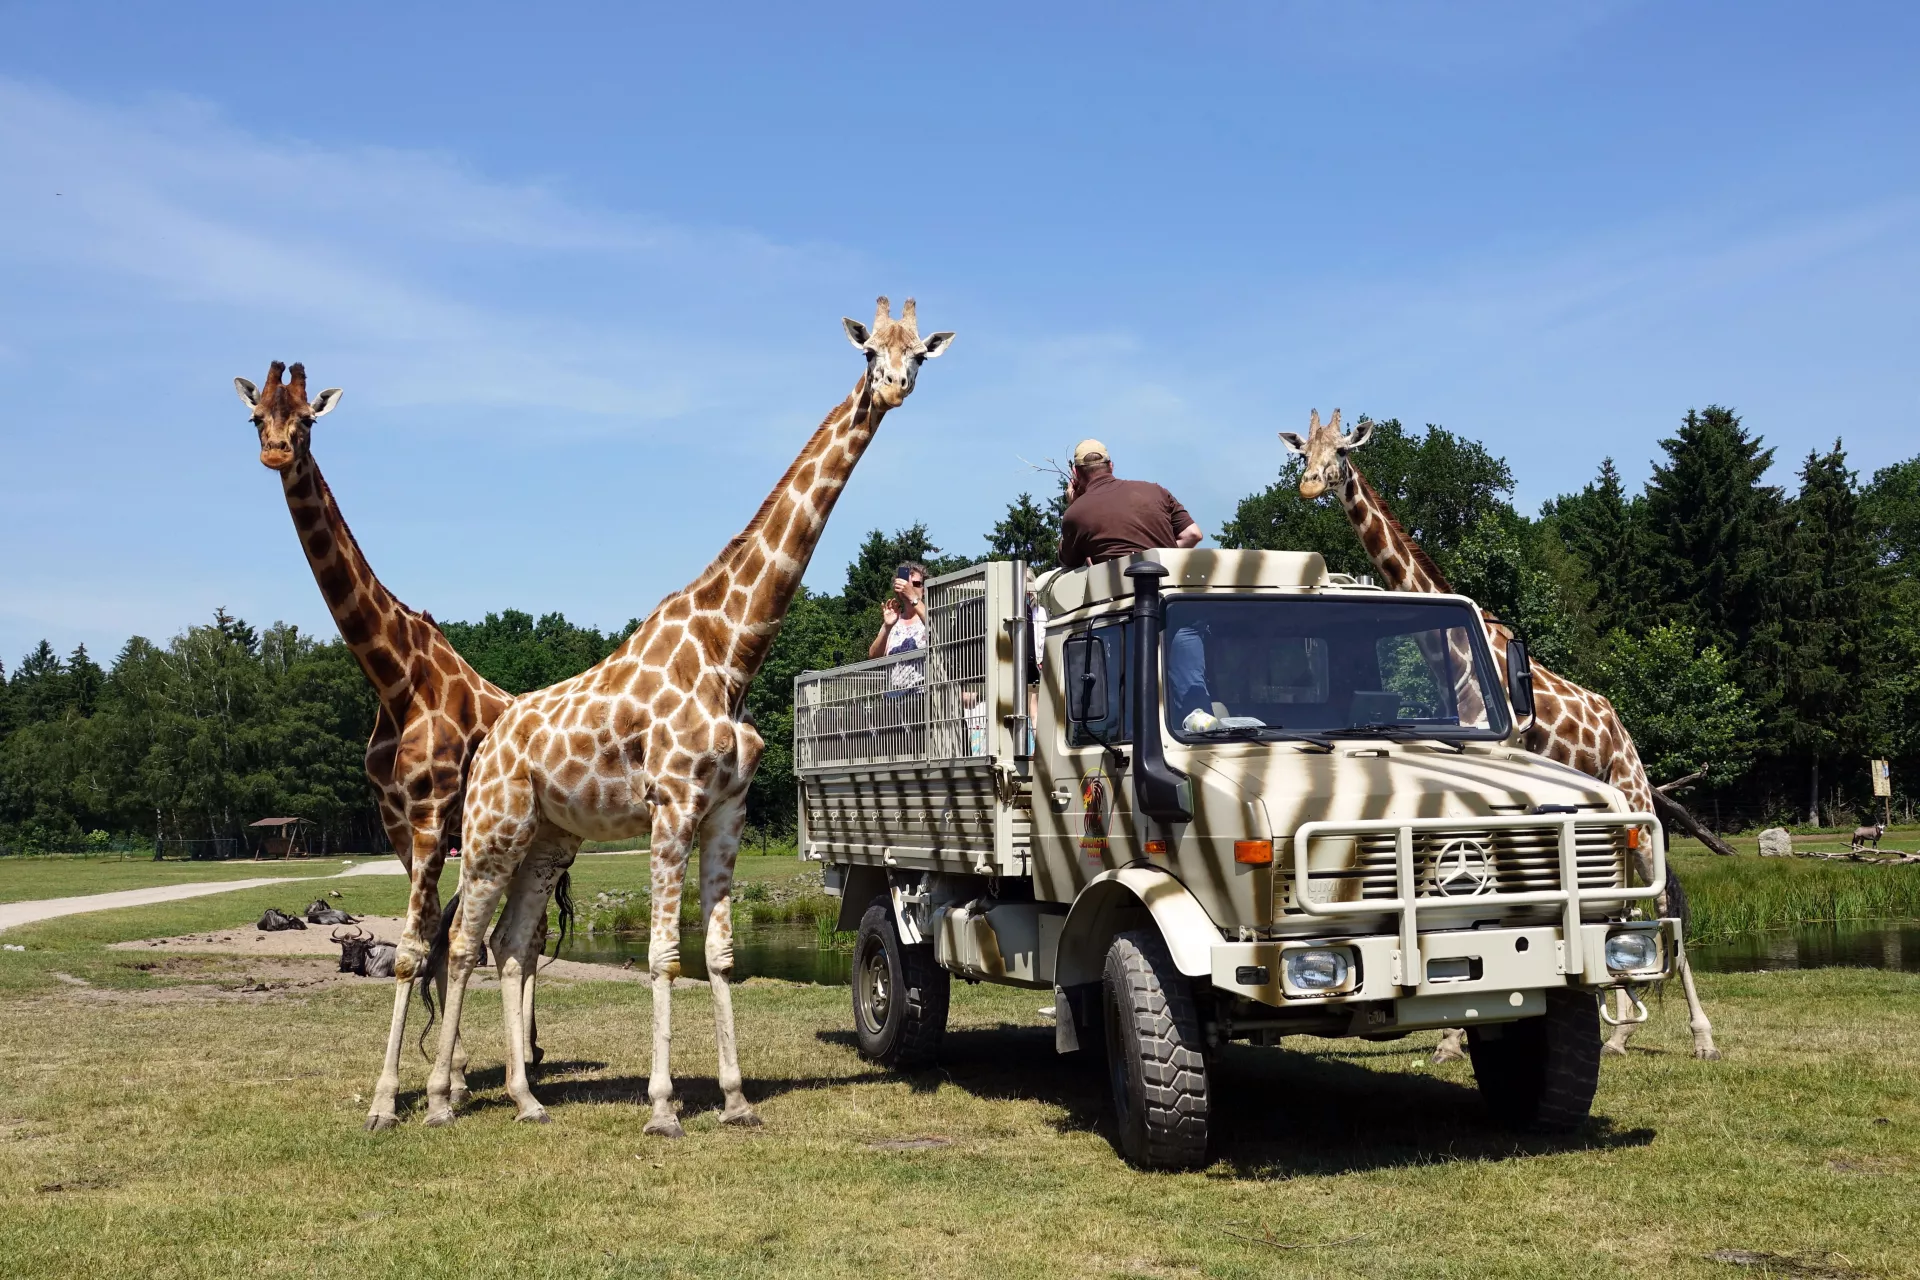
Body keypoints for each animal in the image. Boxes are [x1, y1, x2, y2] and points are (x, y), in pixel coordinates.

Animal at [233, 361, 532, 1129]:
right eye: (256, 417)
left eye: (308, 419)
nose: (276, 453)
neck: (395, 679)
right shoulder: (398, 823)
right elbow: (426, 943)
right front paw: (442, 1082)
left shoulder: (429, 818)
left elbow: (410, 952)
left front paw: (391, 1100)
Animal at [424, 298, 954, 1130]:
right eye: (870, 351)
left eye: (920, 354)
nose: (895, 387)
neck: (729, 652)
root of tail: (491, 737)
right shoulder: (671, 805)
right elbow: (663, 956)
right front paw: (664, 1105)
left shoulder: (727, 810)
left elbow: (720, 955)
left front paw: (735, 1099)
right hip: (491, 831)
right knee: (461, 943)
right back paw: (441, 1100)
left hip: (549, 839)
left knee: (509, 945)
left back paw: (526, 1097)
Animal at [1279, 409, 1719, 1061]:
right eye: (1302, 452)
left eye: (1342, 452)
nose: (1310, 486)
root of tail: (1621, 730)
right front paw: (1453, 1035)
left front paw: (1453, 1036)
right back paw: (1618, 1033)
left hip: (1634, 799)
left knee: (1661, 900)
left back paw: (1700, 1036)